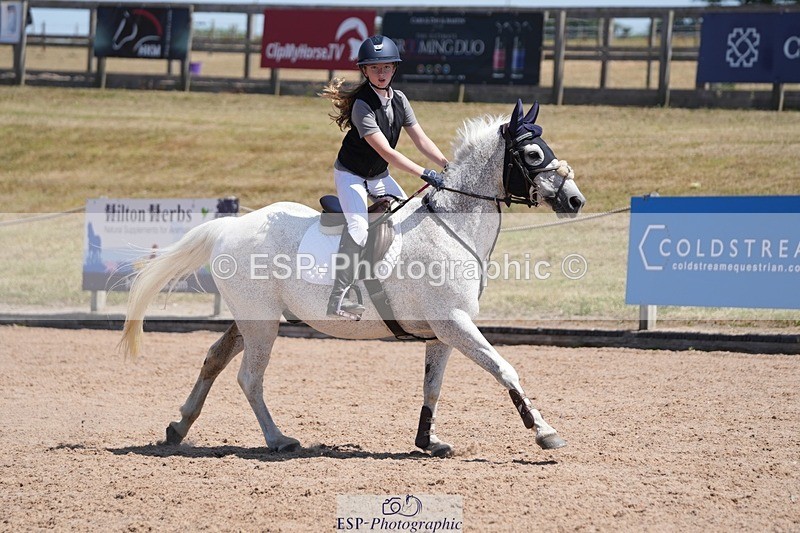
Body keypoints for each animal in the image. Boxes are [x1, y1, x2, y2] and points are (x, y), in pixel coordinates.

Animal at [120, 100, 586, 457]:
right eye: (533, 155)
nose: (575, 200)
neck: (452, 225)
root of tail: (228, 226)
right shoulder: (454, 322)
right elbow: (505, 369)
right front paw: (545, 432)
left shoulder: (443, 331)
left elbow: (432, 388)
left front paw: (428, 441)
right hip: (263, 323)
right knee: (249, 378)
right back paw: (278, 439)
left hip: (251, 317)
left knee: (215, 360)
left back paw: (179, 427)